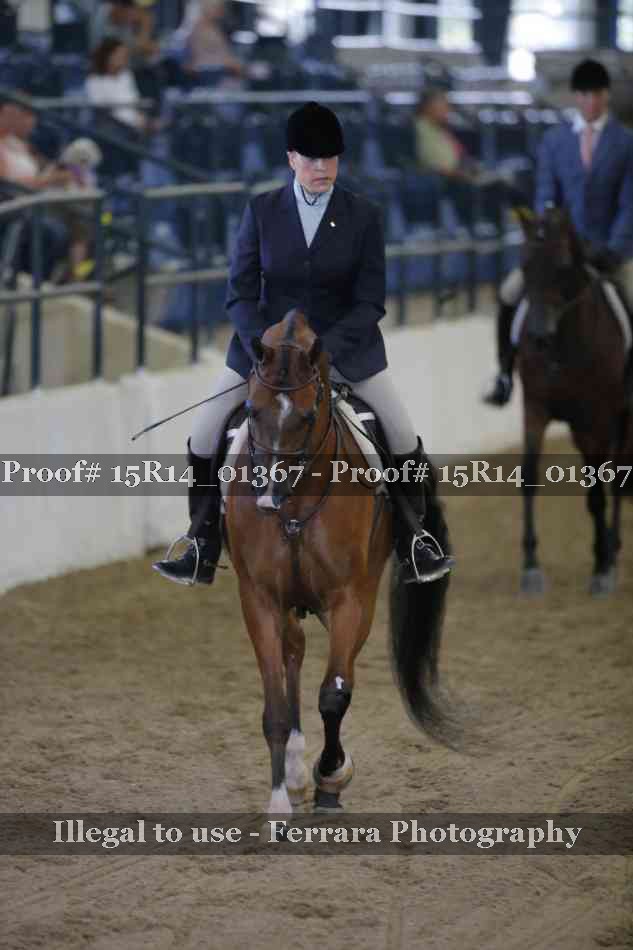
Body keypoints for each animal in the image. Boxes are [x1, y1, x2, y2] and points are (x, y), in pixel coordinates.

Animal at [222, 309, 451, 815]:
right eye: (251, 410)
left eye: (308, 415)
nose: (267, 497)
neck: (295, 504)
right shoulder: (258, 598)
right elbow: (274, 708)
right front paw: (279, 807)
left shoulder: (348, 599)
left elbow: (334, 695)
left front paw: (331, 775)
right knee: (294, 652)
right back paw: (292, 770)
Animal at [515, 206, 630, 596]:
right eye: (524, 265)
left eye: (563, 265)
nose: (537, 337)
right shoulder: (534, 407)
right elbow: (529, 476)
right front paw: (531, 566)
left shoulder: (596, 418)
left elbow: (597, 492)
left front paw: (603, 568)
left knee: (616, 478)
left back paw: (611, 550)